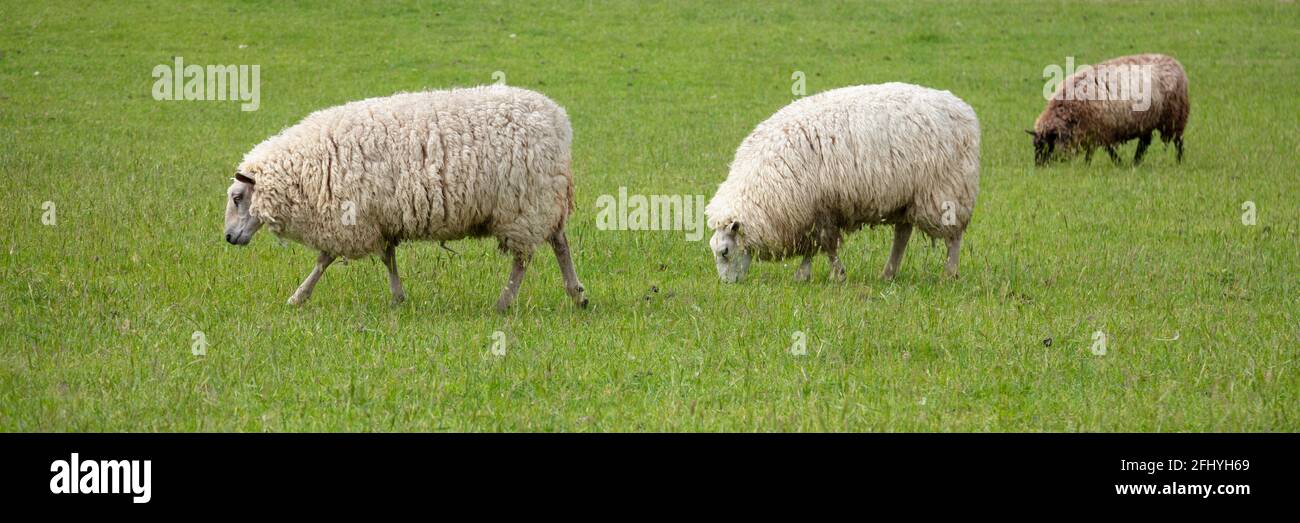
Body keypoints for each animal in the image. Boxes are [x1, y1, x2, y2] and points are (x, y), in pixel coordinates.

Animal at [223, 85, 590, 310]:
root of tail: (559, 119)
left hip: (524, 205)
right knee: (559, 244)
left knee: (523, 259)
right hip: (542, 200)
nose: (228, 237)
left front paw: (298, 296)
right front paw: (399, 297)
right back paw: (577, 294)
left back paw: (504, 302)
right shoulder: (378, 218)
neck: (306, 166)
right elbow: (387, 257)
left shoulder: (349, 218)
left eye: (238, 197)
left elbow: (324, 259)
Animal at [707, 82, 977, 283]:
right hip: (907, 196)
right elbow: (813, 246)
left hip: (946, 190)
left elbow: (827, 246)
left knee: (954, 236)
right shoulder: (811, 212)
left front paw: (836, 275)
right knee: (902, 234)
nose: (727, 284)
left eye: (724, 252)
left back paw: (949, 274)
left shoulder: (820, 208)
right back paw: (888, 274)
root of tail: (962, 108)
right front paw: (804, 274)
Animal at [1024, 53, 1190, 164]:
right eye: (1035, 146)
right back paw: (1136, 162)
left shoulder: (1102, 129)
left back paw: (1179, 161)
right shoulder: (1092, 131)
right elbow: (1094, 151)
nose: (1039, 167)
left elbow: (1107, 150)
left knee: (1178, 141)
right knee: (1144, 143)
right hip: (1147, 121)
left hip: (1175, 116)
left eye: (1047, 145)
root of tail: (1175, 63)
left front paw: (1117, 163)